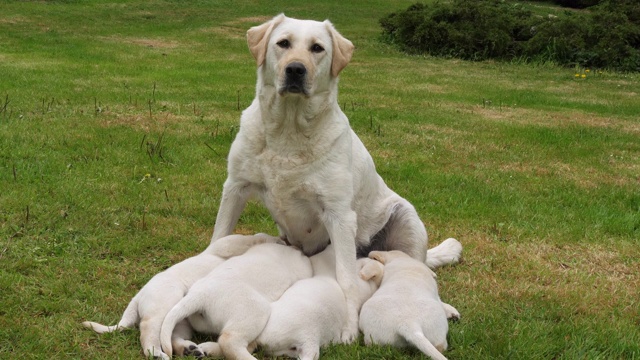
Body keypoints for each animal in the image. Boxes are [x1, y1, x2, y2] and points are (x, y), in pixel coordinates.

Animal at [80, 233, 280, 360]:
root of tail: (138, 296)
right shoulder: (225, 245)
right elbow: (250, 237)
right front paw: (277, 239)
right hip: (165, 300)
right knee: (148, 329)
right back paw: (156, 353)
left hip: (181, 321)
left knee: (172, 336)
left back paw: (188, 349)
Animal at [208, 11, 462, 344]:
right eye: (283, 43)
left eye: (317, 48)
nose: (295, 69)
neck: (289, 130)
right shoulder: (235, 187)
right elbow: (219, 235)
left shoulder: (339, 215)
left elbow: (347, 280)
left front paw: (349, 327)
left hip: (407, 220)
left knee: (423, 270)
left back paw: (443, 306)